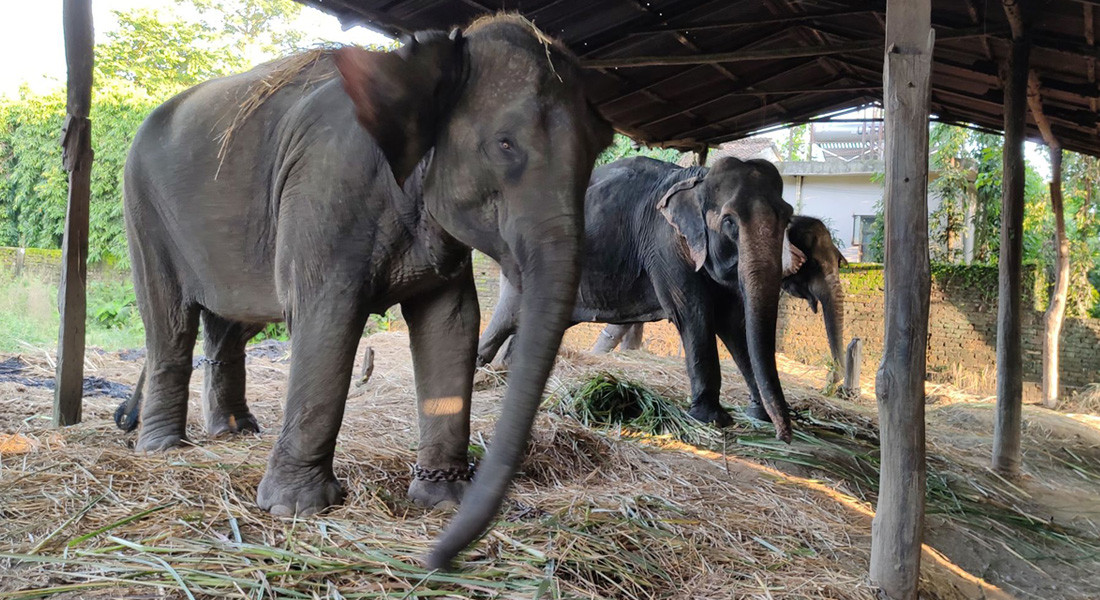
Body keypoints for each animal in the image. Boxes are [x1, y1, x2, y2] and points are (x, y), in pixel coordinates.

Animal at [117, 16, 616, 568]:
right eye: (505, 144)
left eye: (598, 149)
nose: (436, 561)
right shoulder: (327, 186)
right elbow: (328, 313)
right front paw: (296, 509)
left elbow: (452, 322)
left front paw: (442, 500)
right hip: (143, 208)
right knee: (169, 318)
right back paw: (163, 448)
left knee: (227, 324)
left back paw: (236, 432)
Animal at [477, 155, 796, 440]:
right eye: (729, 221)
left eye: (788, 217)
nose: (785, 436)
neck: (699, 181)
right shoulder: (666, 246)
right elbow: (695, 315)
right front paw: (711, 419)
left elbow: (733, 323)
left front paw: (760, 415)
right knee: (506, 321)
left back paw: (507, 376)